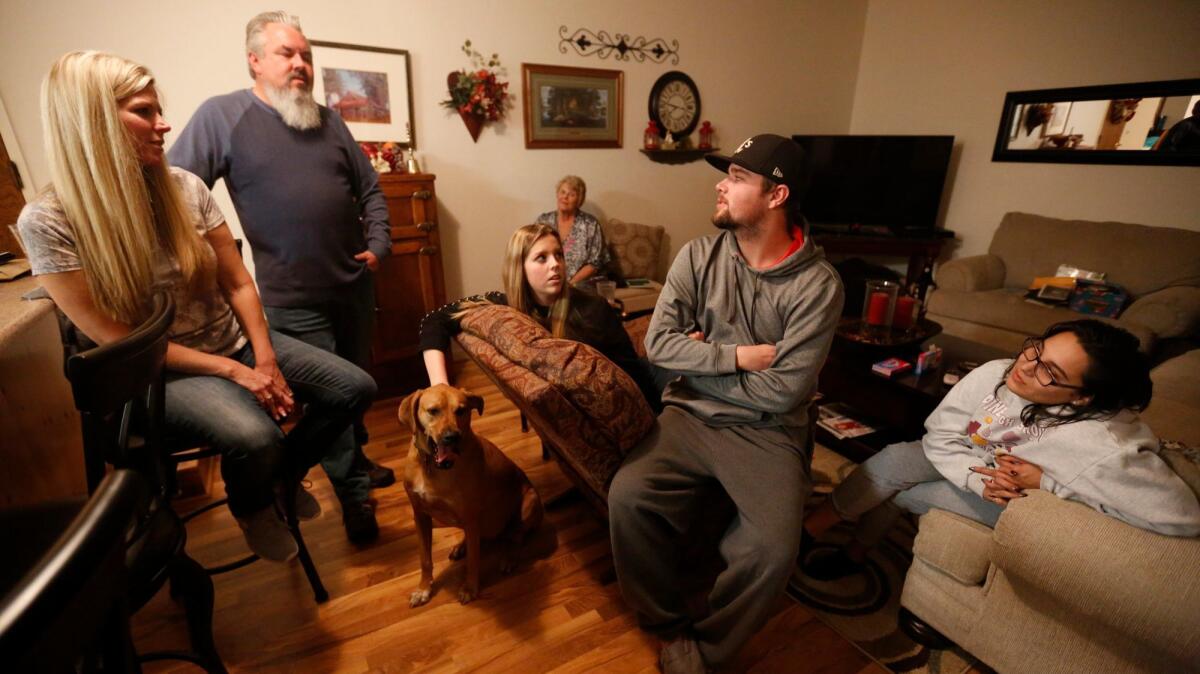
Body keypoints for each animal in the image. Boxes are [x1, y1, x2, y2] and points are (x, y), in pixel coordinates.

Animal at [398, 381, 544, 606]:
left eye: (461, 410)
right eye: (433, 411)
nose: (452, 437)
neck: (432, 467)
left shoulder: (471, 517)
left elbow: (473, 561)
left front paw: (470, 588)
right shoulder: (420, 516)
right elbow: (425, 559)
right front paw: (423, 589)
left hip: (530, 500)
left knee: (517, 535)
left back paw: (510, 556)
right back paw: (461, 546)